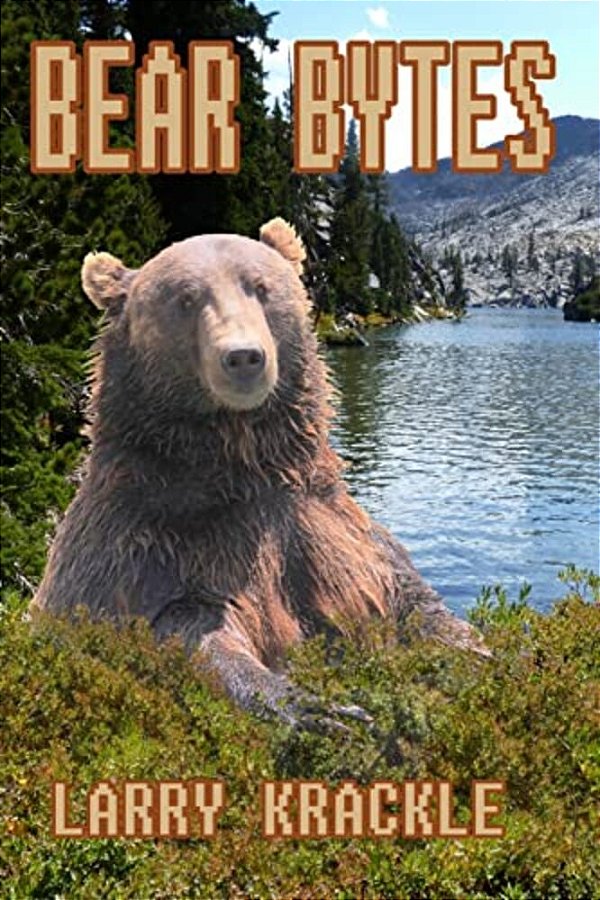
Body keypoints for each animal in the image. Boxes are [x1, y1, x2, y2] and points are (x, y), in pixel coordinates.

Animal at [32, 218, 487, 727]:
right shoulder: (155, 545)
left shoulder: (332, 529)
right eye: (185, 299)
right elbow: (196, 630)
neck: (243, 463)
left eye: (261, 287)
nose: (244, 357)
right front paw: (321, 710)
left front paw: (485, 654)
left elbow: (412, 598)